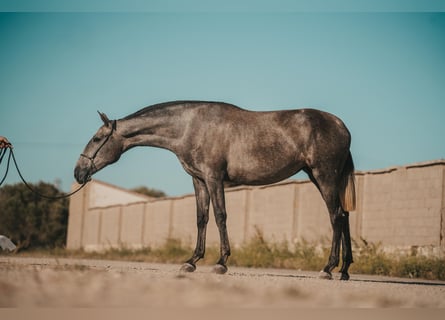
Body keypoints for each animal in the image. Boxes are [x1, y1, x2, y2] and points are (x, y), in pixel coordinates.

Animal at [74, 100, 356, 280]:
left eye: (97, 139)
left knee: (335, 217)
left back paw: (328, 269)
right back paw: (344, 271)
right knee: (344, 217)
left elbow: (220, 216)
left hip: (324, 176)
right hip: (319, 177)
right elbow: (202, 218)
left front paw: (221, 263)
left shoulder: (213, 178)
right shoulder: (198, 180)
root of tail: (342, 126)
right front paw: (191, 262)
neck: (190, 126)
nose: (78, 172)